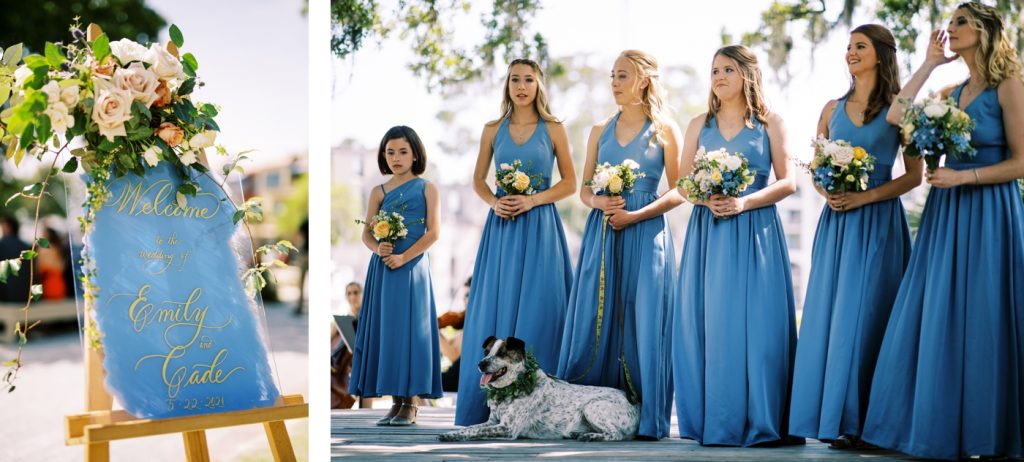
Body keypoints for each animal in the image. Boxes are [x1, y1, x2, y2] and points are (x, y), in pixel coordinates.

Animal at [436, 336, 634, 440]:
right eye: (487, 352)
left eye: (501, 353)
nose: (480, 364)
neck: (512, 387)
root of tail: (633, 401)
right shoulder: (493, 422)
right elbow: (471, 427)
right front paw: (452, 433)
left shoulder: (508, 428)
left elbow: (475, 430)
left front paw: (453, 436)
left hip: (592, 407)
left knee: (616, 434)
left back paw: (592, 436)